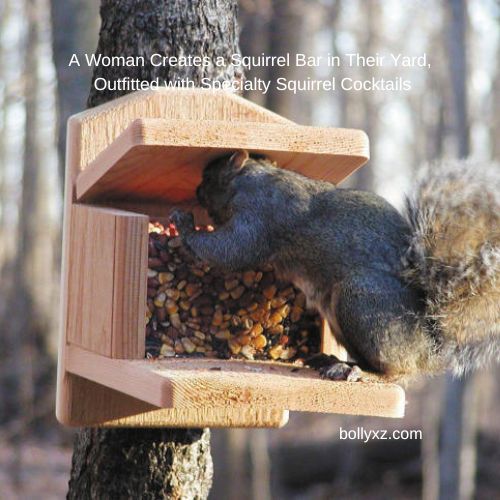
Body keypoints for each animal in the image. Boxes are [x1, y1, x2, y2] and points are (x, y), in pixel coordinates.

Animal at [170, 150, 498, 380]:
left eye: (209, 177)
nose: (195, 192)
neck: (251, 179)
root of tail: (430, 349)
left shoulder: (261, 217)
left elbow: (231, 250)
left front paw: (184, 225)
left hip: (362, 301)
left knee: (394, 372)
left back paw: (358, 371)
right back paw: (333, 361)